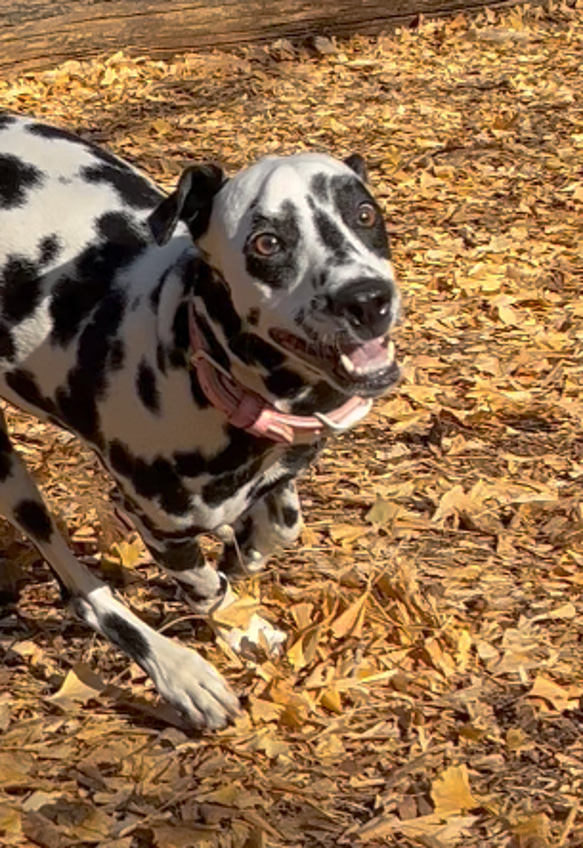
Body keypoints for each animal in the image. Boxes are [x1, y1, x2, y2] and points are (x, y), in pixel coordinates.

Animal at [0, 112, 400, 728]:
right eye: (267, 242)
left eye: (364, 214)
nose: (367, 299)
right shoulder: (157, 526)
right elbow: (205, 583)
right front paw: (238, 627)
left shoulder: (278, 477)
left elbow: (279, 524)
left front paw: (247, 545)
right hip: (12, 479)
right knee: (81, 589)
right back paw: (180, 673)